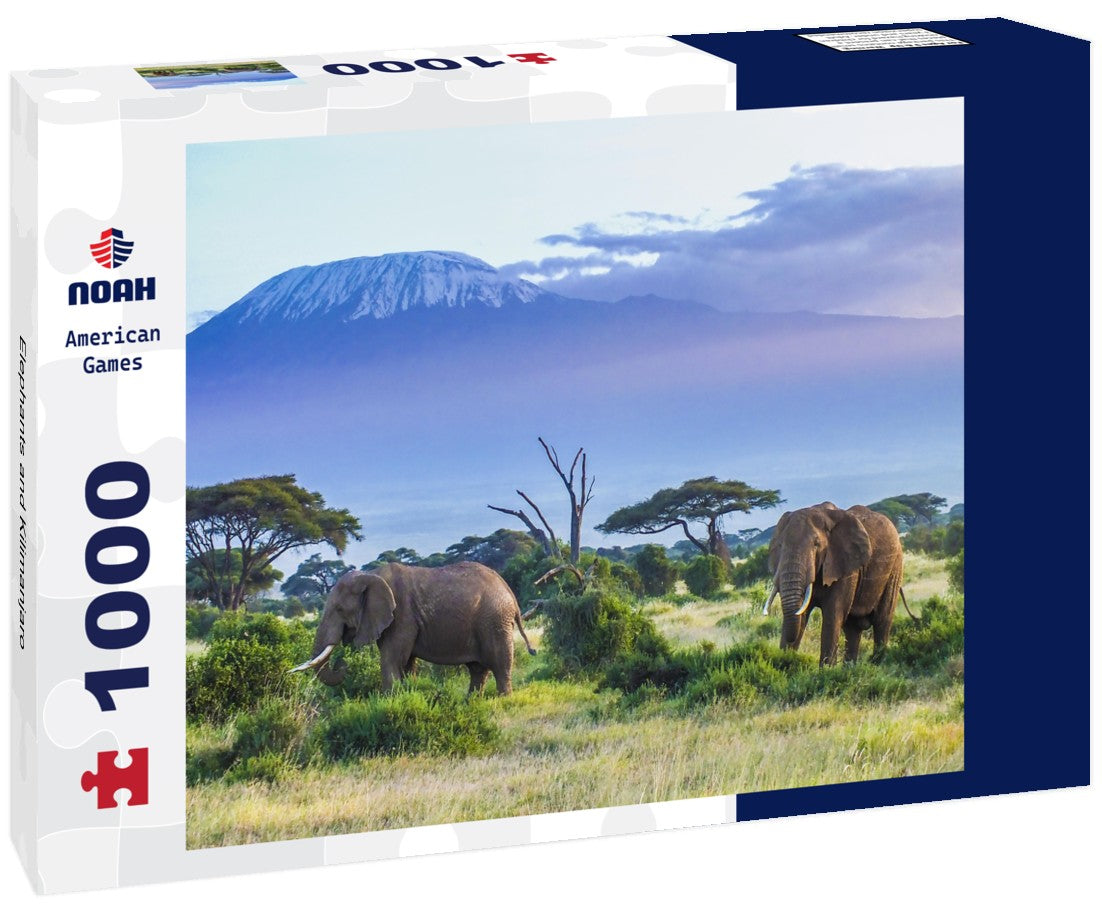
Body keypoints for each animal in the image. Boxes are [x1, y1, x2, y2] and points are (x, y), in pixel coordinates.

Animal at [290, 561, 535, 695]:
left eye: (340, 609)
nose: (343, 664)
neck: (371, 575)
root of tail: (508, 590)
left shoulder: (402, 616)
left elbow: (391, 659)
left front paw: (388, 701)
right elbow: (405, 663)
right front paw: (406, 694)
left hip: (494, 620)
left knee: (499, 664)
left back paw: (503, 700)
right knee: (477, 669)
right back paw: (471, 702)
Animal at [762, 502, 916, 665]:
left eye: (816, 544)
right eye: (780, 546)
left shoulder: (845, 566)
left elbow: (833, 615)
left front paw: (825, 671)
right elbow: (801, 614)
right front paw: (784, 664)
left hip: (895, 567)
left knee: (882, 621)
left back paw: (876, 665)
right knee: (853, 628)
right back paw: (850, 668)